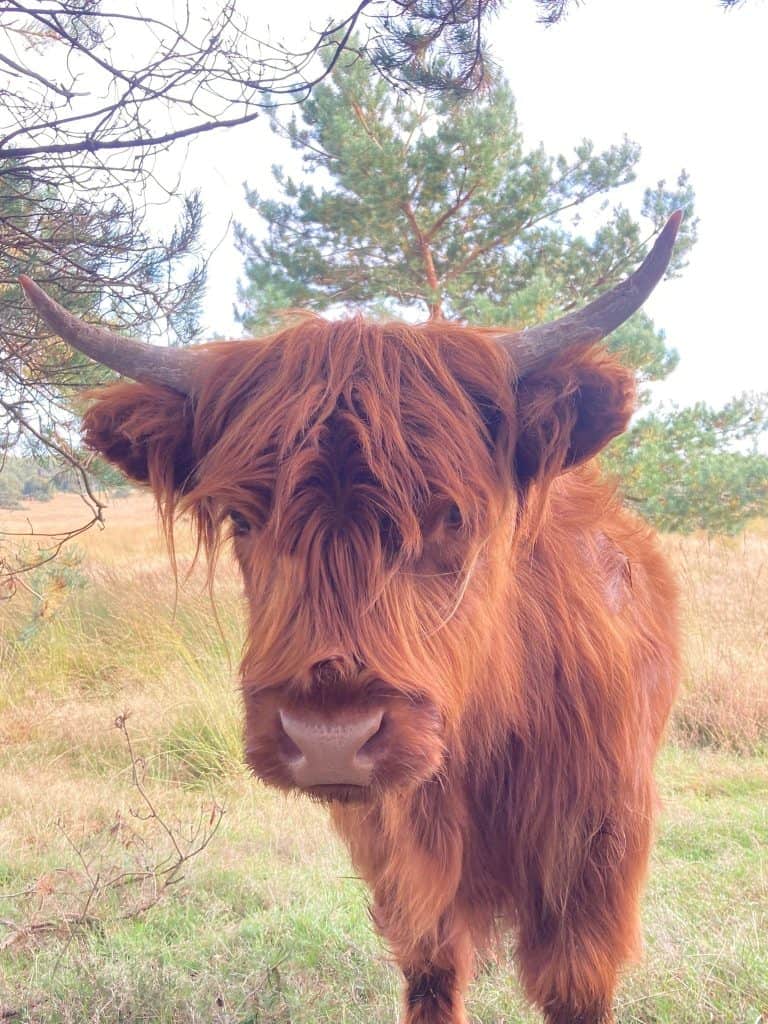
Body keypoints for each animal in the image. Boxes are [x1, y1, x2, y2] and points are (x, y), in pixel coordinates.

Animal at [20, 212, 682, 1024]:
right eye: (244, 518)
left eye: (450, 514)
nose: (329, 740)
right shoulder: (402, 868)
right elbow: (431, 974)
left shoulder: (596, 857)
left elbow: (574, 986)